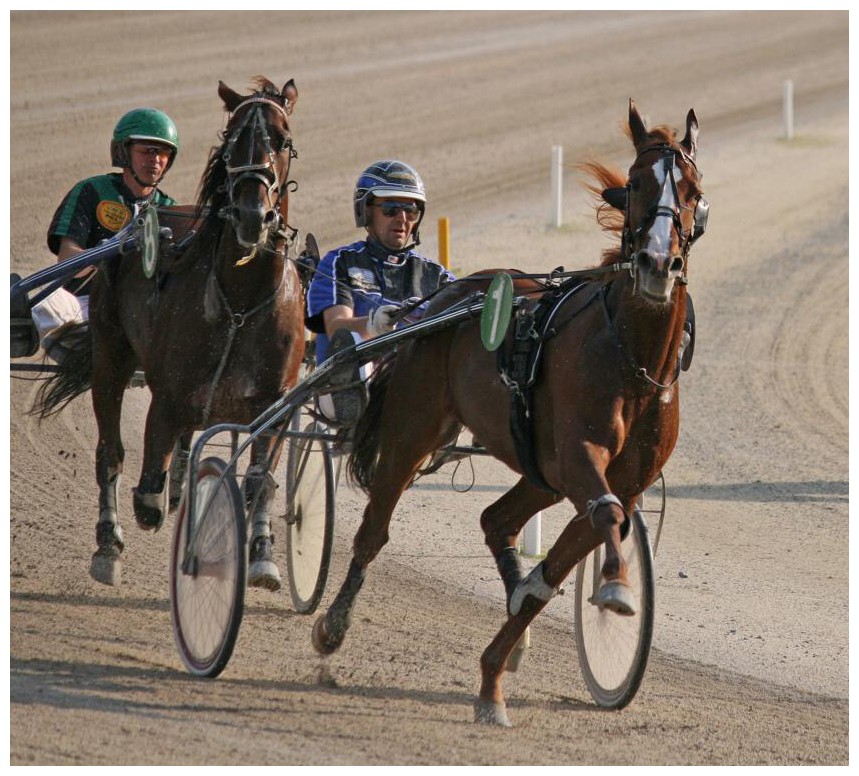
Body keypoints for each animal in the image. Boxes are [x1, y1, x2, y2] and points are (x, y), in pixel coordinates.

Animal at [35, 79, 308, 588]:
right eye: (231, 139)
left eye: (282, 140)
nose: (252, 214)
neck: (240, 299)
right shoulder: (167, 396)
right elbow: (146, 493)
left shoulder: (275, 404)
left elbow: (260, 480)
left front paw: (262, 554)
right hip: (110, 356)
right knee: (110, 452)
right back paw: (110, 541)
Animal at [312, 100, 708, 724]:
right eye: (638, 182)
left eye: (692, 188)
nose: (656, 264)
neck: (632, 356)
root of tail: (439, 304)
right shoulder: (580, 458)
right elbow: (603, 518)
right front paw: (617, 588)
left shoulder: (623, 479)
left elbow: (560, 565)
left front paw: (496, 675)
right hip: (413, 430)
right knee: (374, 530)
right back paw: (332, 624)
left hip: (537, 470)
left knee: (496, 520)